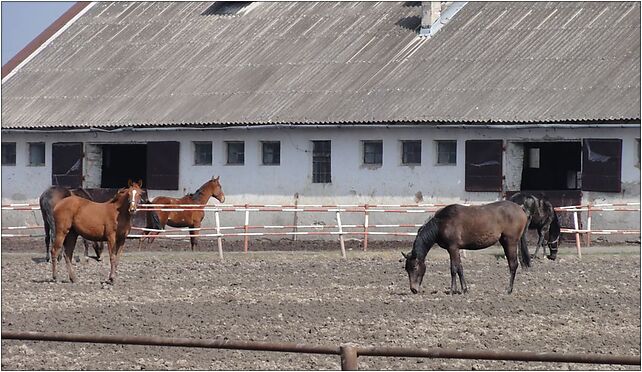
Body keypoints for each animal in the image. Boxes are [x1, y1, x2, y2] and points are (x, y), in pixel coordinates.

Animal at [400, 202, 528, 294]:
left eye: (414, 267)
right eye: (406, 269)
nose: (413, 289)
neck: (442, 222)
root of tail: (521, 209)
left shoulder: (453, 248)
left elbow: (454, 269)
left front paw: (453, 290)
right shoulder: (453, 249)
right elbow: (459, 268)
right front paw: (462, 289)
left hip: (510, 242)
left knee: (513, 265)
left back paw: (509, 290)